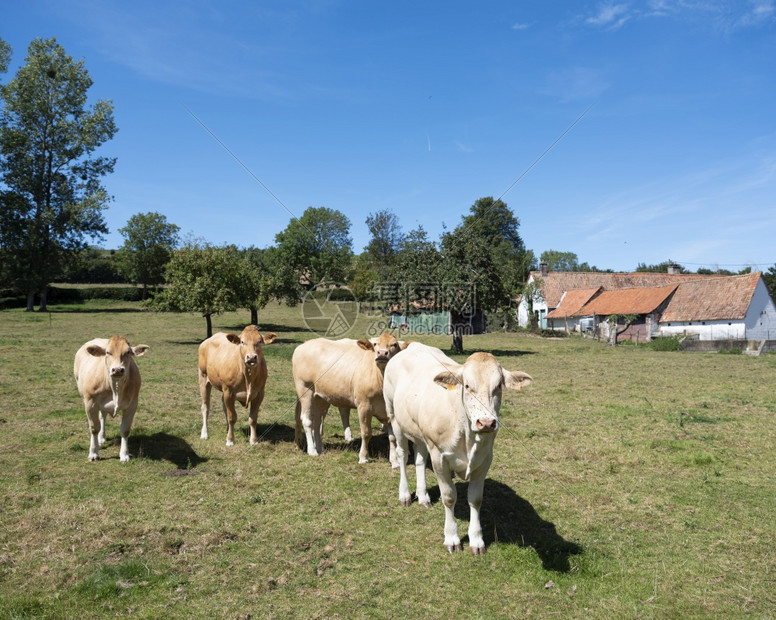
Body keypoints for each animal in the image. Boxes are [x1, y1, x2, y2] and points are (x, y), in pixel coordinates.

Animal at [292, 332, 410, 462]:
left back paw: (319, 448)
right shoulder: (363, 406)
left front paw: (394, 460)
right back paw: (312, 450)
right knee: (307, 420)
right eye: (375, 344)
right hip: (305, 389)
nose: (382, 353)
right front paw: (363, 457)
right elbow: (366, 433)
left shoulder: (389, 412)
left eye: (395, 344)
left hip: (321, 397)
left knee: (317, 421)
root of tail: (304, 345)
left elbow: (393, 437)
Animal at [384, 342, 532, 556]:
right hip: (394, 417)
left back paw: (423, 496)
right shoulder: (439, 457)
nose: (486, 422)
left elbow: (475, 499)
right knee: (403, 456)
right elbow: (449, 497)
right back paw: (404, 494)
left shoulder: (485, 459)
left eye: (498, 386)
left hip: (420, 432)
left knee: (419, 459)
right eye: (467, 386)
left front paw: (477, 540)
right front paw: (452, 538)